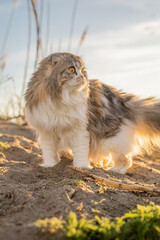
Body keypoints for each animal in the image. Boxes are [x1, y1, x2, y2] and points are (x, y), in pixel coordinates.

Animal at [24, 52, 160, 173]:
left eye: (83, 70)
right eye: (72, 70)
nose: (82, 76)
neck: (61, 99)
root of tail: (124, 100)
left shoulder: (80, 130)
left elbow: (80, 152)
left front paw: (80, 167)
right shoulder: (46, 131)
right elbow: (49, 152)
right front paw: (50, 166)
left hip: (113, 139)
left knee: (126, 160)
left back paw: (114, 170)